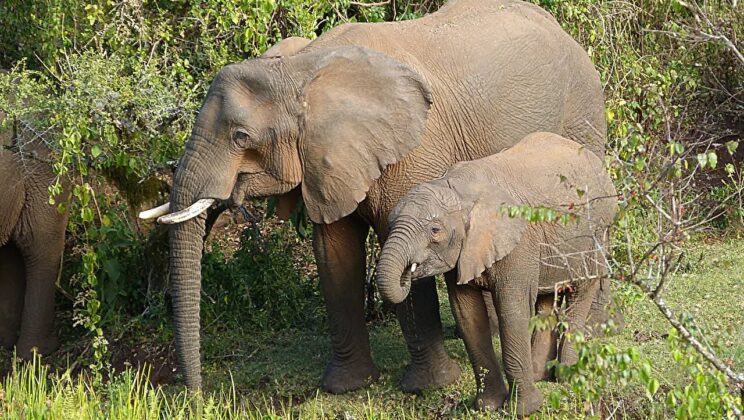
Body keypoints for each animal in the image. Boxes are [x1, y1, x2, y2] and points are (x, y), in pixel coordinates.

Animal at [139, 0, 609, 392]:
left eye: (241, 137)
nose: (195, 394)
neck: (302, 68)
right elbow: (333, 252)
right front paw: (346, 386)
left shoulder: (414, 150)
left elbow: (392, 241)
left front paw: (427, 387)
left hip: (584, 115)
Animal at [376, 132, 618, 415]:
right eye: (390, 223)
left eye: (435, 230)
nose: (408, 272)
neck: (458, 190)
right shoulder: (465, 252)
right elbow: (467, 314)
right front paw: (487, 407)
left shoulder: (518, 243)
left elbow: (512, 312)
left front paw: (525, 410)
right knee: (546, 299)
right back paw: (540, 375)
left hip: (595, 233)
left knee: (579, 294)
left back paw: (567, 376)